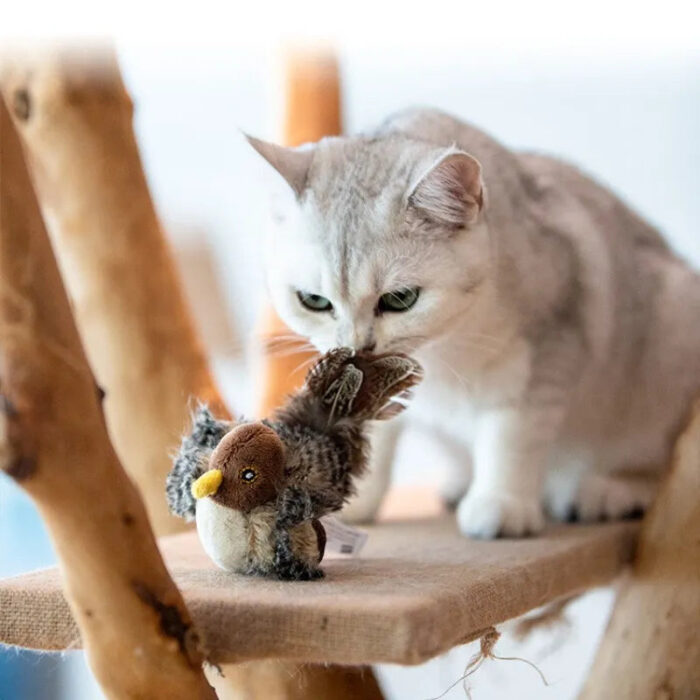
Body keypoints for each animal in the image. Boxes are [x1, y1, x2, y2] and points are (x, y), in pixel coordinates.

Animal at [246, 108, 700, 536]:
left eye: (400, 299)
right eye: (314, 301)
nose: (358, 347)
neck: (440, 349)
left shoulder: (548, 349)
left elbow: (512, 434)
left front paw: (502, 504)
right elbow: (375, 434)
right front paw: (352, 500)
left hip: (670, 333)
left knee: (654, 463)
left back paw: (604, 490)